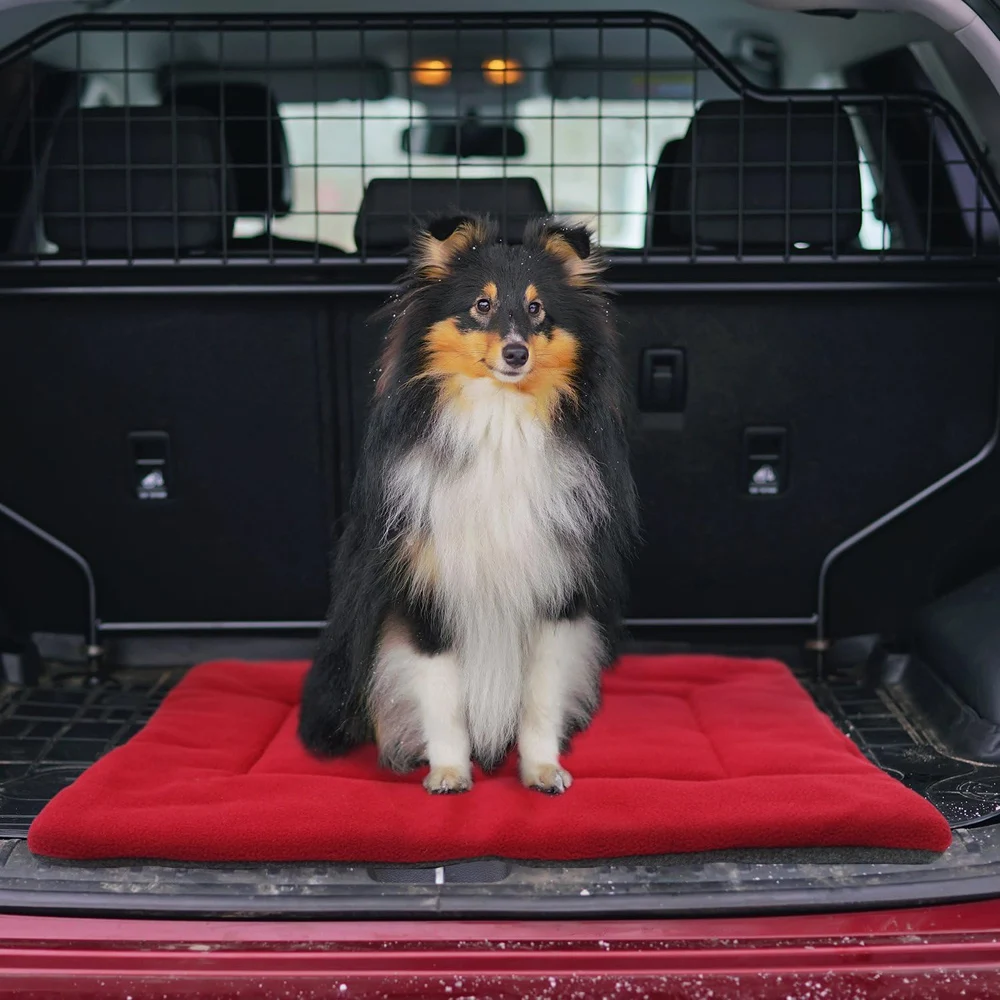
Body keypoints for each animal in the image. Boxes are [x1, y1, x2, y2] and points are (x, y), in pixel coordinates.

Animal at [298, 215, 640, 792]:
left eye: (536, 309)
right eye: (481, 304)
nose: (516, 353)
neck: (499, 420)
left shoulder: (556, 593)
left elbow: (541, 698)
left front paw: (543, 770)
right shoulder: (425, 593)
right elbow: (442, 698)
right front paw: (449, 773)